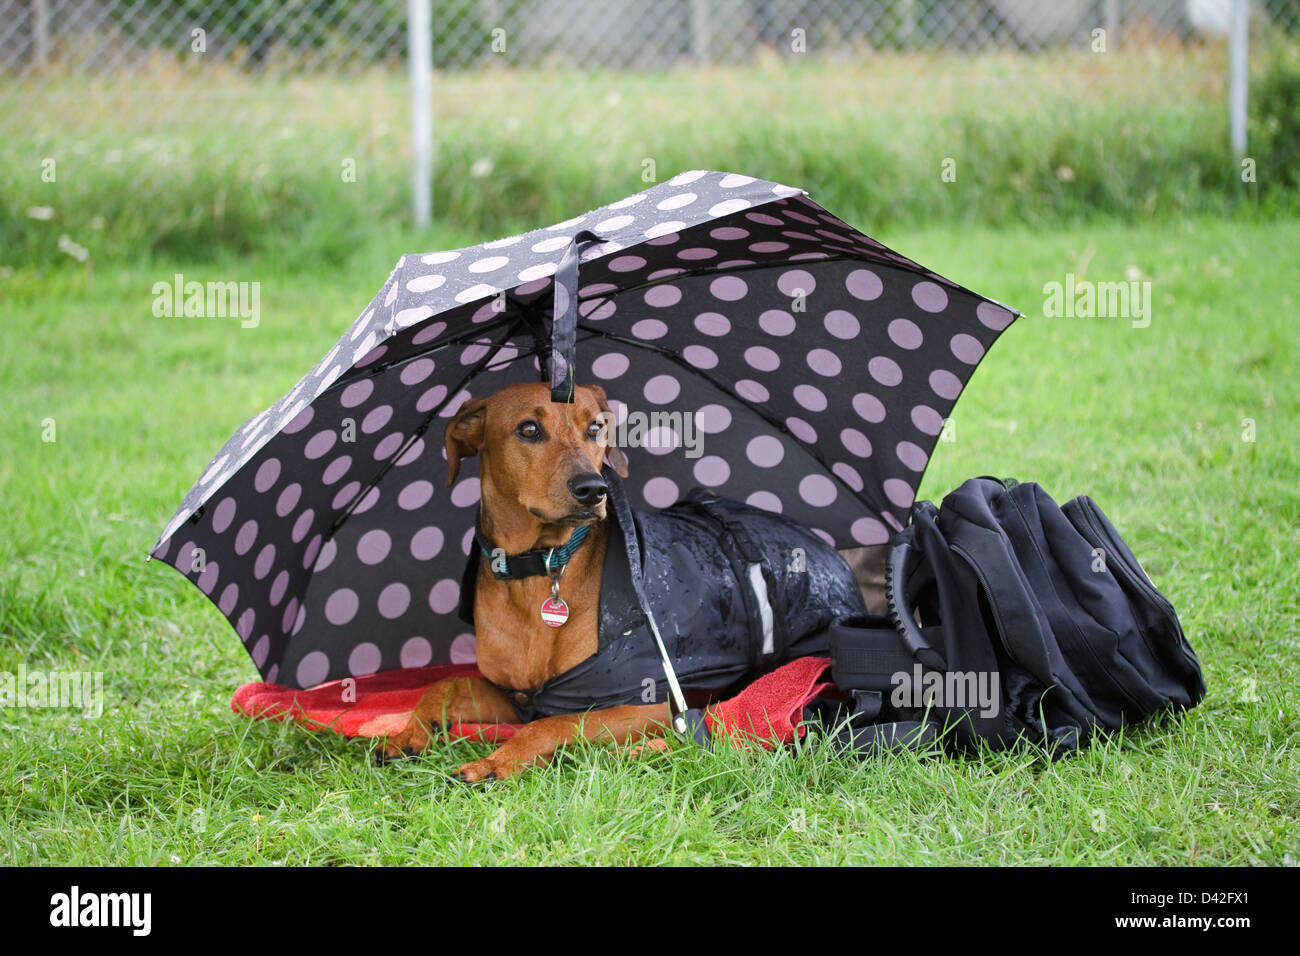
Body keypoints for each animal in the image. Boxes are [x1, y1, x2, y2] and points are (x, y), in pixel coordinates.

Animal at [371, 382, 665, 780]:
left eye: (595, 428)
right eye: (528, 429)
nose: (593, 489)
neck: (541, 567)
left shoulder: (654, 703)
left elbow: (553, 722)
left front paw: (497, 762)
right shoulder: (518, 696)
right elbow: (446, 684)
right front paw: (409, 734)